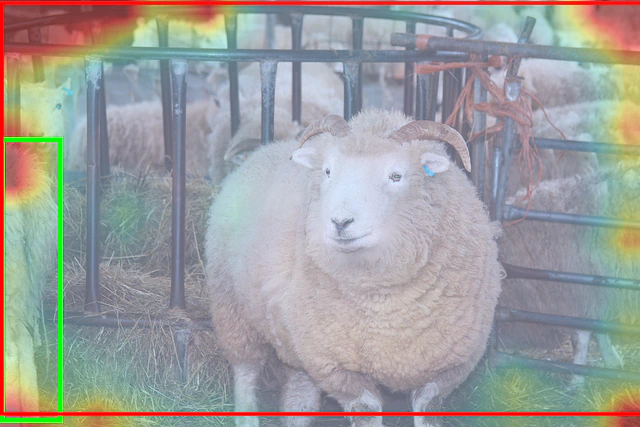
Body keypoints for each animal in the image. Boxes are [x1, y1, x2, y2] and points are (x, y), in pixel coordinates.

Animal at [205, 108, 504, 427]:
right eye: (327, 171)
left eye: (396, 175)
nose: (340, 222)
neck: (384, 302)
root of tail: (265, 149)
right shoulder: (335, 366)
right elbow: (367, 410)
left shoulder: (447, 369)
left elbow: (428, 408)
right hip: (233, 310)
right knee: (245, 371)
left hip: (295, 342)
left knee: (299, 394)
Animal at [497, 163, 639, 387]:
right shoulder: (585, 287)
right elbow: (587, 332)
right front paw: (582, 376)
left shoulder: (595, 286)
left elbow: (595, 329)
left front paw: (607, 362)